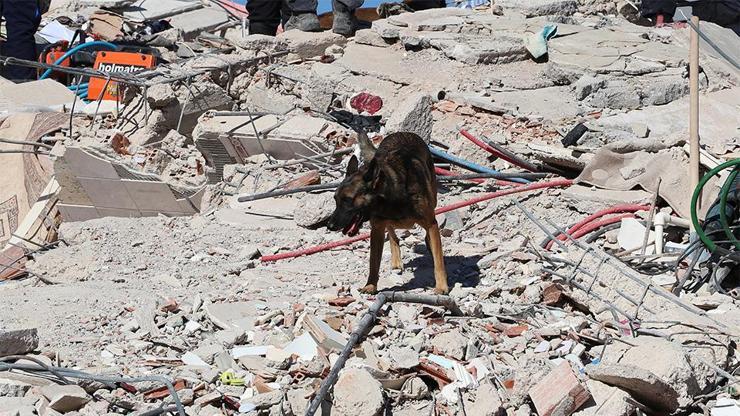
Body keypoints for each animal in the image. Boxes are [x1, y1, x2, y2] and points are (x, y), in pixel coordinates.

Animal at [326, 132, 448, 294]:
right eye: (335, 199)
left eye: (347, 200)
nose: (329, 226)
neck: (391, 197)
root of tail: (402, 133)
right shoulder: (377, 229)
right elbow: (373, 262)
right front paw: (370, 285)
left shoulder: (430, 223)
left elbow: (439, 260)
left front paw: (441, 286)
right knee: (392, 233)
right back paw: (396, 258)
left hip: (432, 200)